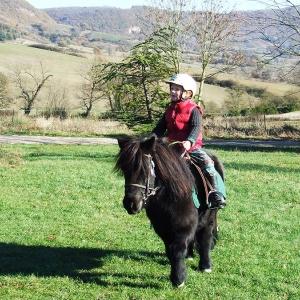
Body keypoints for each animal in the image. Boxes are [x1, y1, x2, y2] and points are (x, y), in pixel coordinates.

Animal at [116, 135, 224, 288]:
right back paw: (189, 256)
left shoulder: (184, 224)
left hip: (210, 216)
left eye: (145, 169)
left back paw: (205, 266)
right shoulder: (164, 227)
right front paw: (176, 275)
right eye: (125, 170)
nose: (130, 204)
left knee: (206, 238)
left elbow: (177, 250)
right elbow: (170, 250)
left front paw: (179, 280)